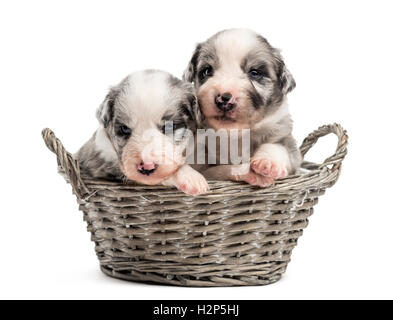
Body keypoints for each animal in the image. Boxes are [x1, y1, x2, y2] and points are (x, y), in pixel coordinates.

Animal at [183, 29, 300, 188]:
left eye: (255, 73)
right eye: (206, 71)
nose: (223, 99)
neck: (235, 134)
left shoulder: (284, 136)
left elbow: (278, 147)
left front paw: (267, 162)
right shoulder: (203, 165)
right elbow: (220, 170)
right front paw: (249, 172)